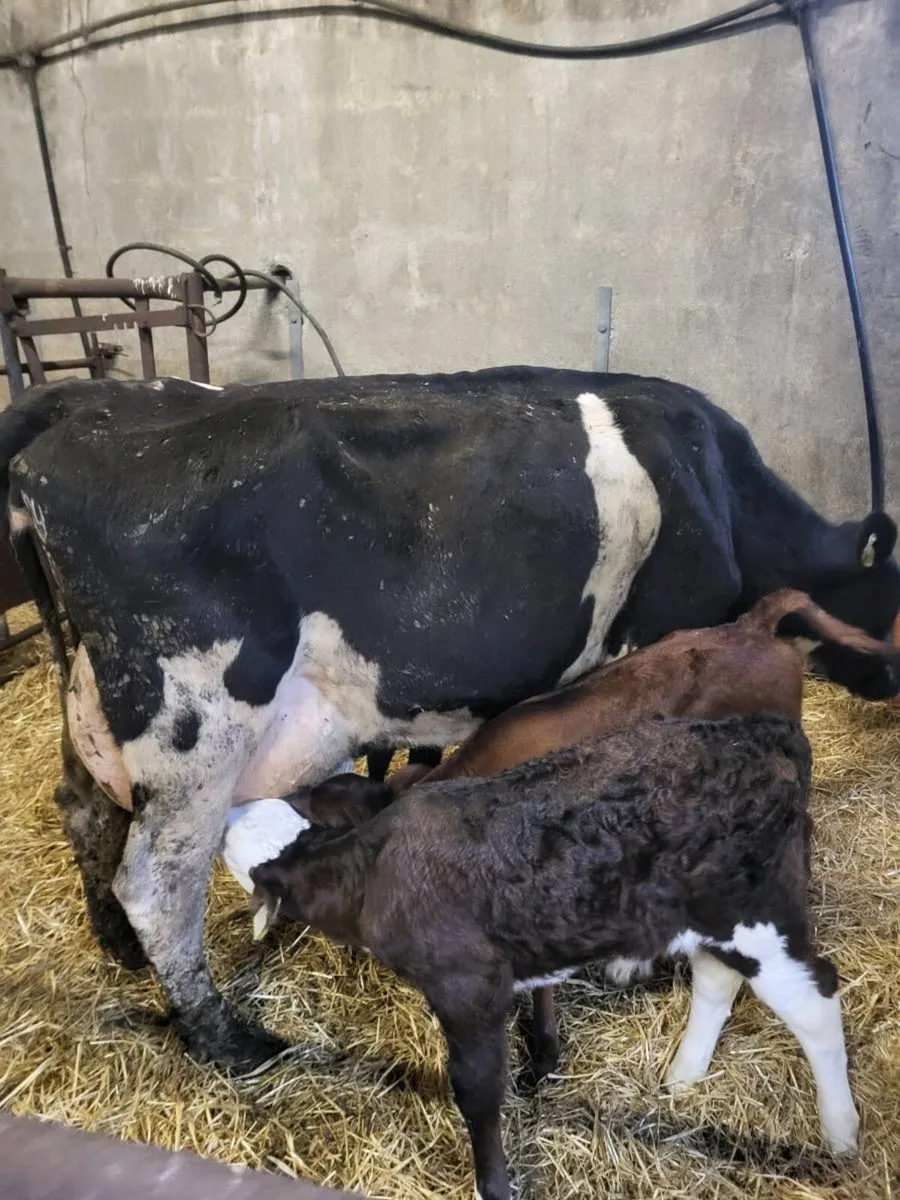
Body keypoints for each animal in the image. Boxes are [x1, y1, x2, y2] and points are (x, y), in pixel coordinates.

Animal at [1, 367, 897, 1072]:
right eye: (890, 595)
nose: (889, 681)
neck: (715, 483)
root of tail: (84, 407)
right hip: (195, 725)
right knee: (158, 883)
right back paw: (230, 1039)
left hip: (92, 694)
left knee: (82, 810)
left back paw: (115, 945)